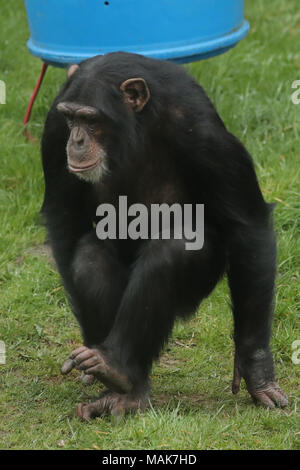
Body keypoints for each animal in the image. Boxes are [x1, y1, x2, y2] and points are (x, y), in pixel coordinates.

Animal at [41, 51, 288, 418]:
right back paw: (121, 379)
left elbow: (248, 226)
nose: (77, 140)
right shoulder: (54, 130)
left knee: (174, 250)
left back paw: (118, 371)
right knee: (90, 256)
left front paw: (256, 368)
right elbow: (64, 220)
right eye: (72, 119)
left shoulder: (204, 132)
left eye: (91, 120)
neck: (134, 128)